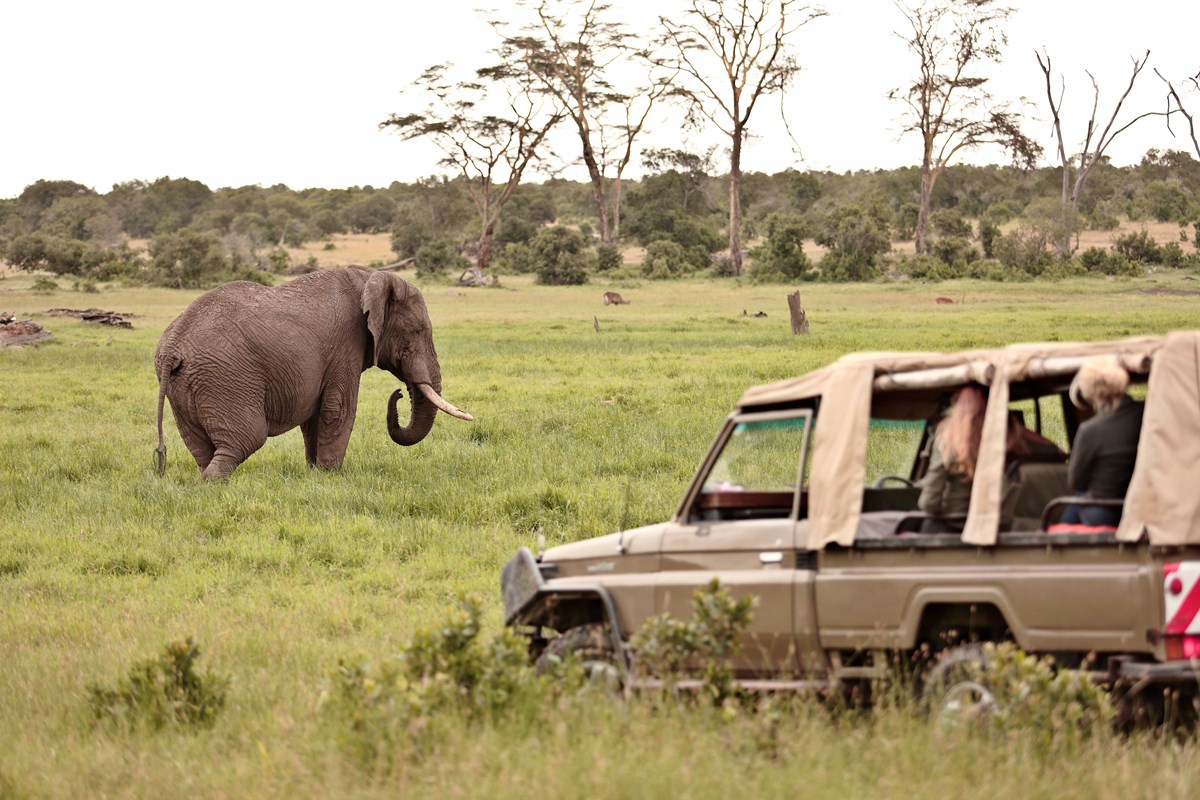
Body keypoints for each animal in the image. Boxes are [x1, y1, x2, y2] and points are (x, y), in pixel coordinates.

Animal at [157, 267, 475, 482]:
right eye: (417, 332)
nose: (396, 393)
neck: (371, 277)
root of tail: (172, 346)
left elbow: (314, 416)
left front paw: (314, 473)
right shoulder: (346, 344)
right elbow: (339, 409)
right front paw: (331, 475)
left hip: (184, 386)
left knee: (200, 446)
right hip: (226, 378)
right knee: (246, 438)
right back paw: (214, 483)